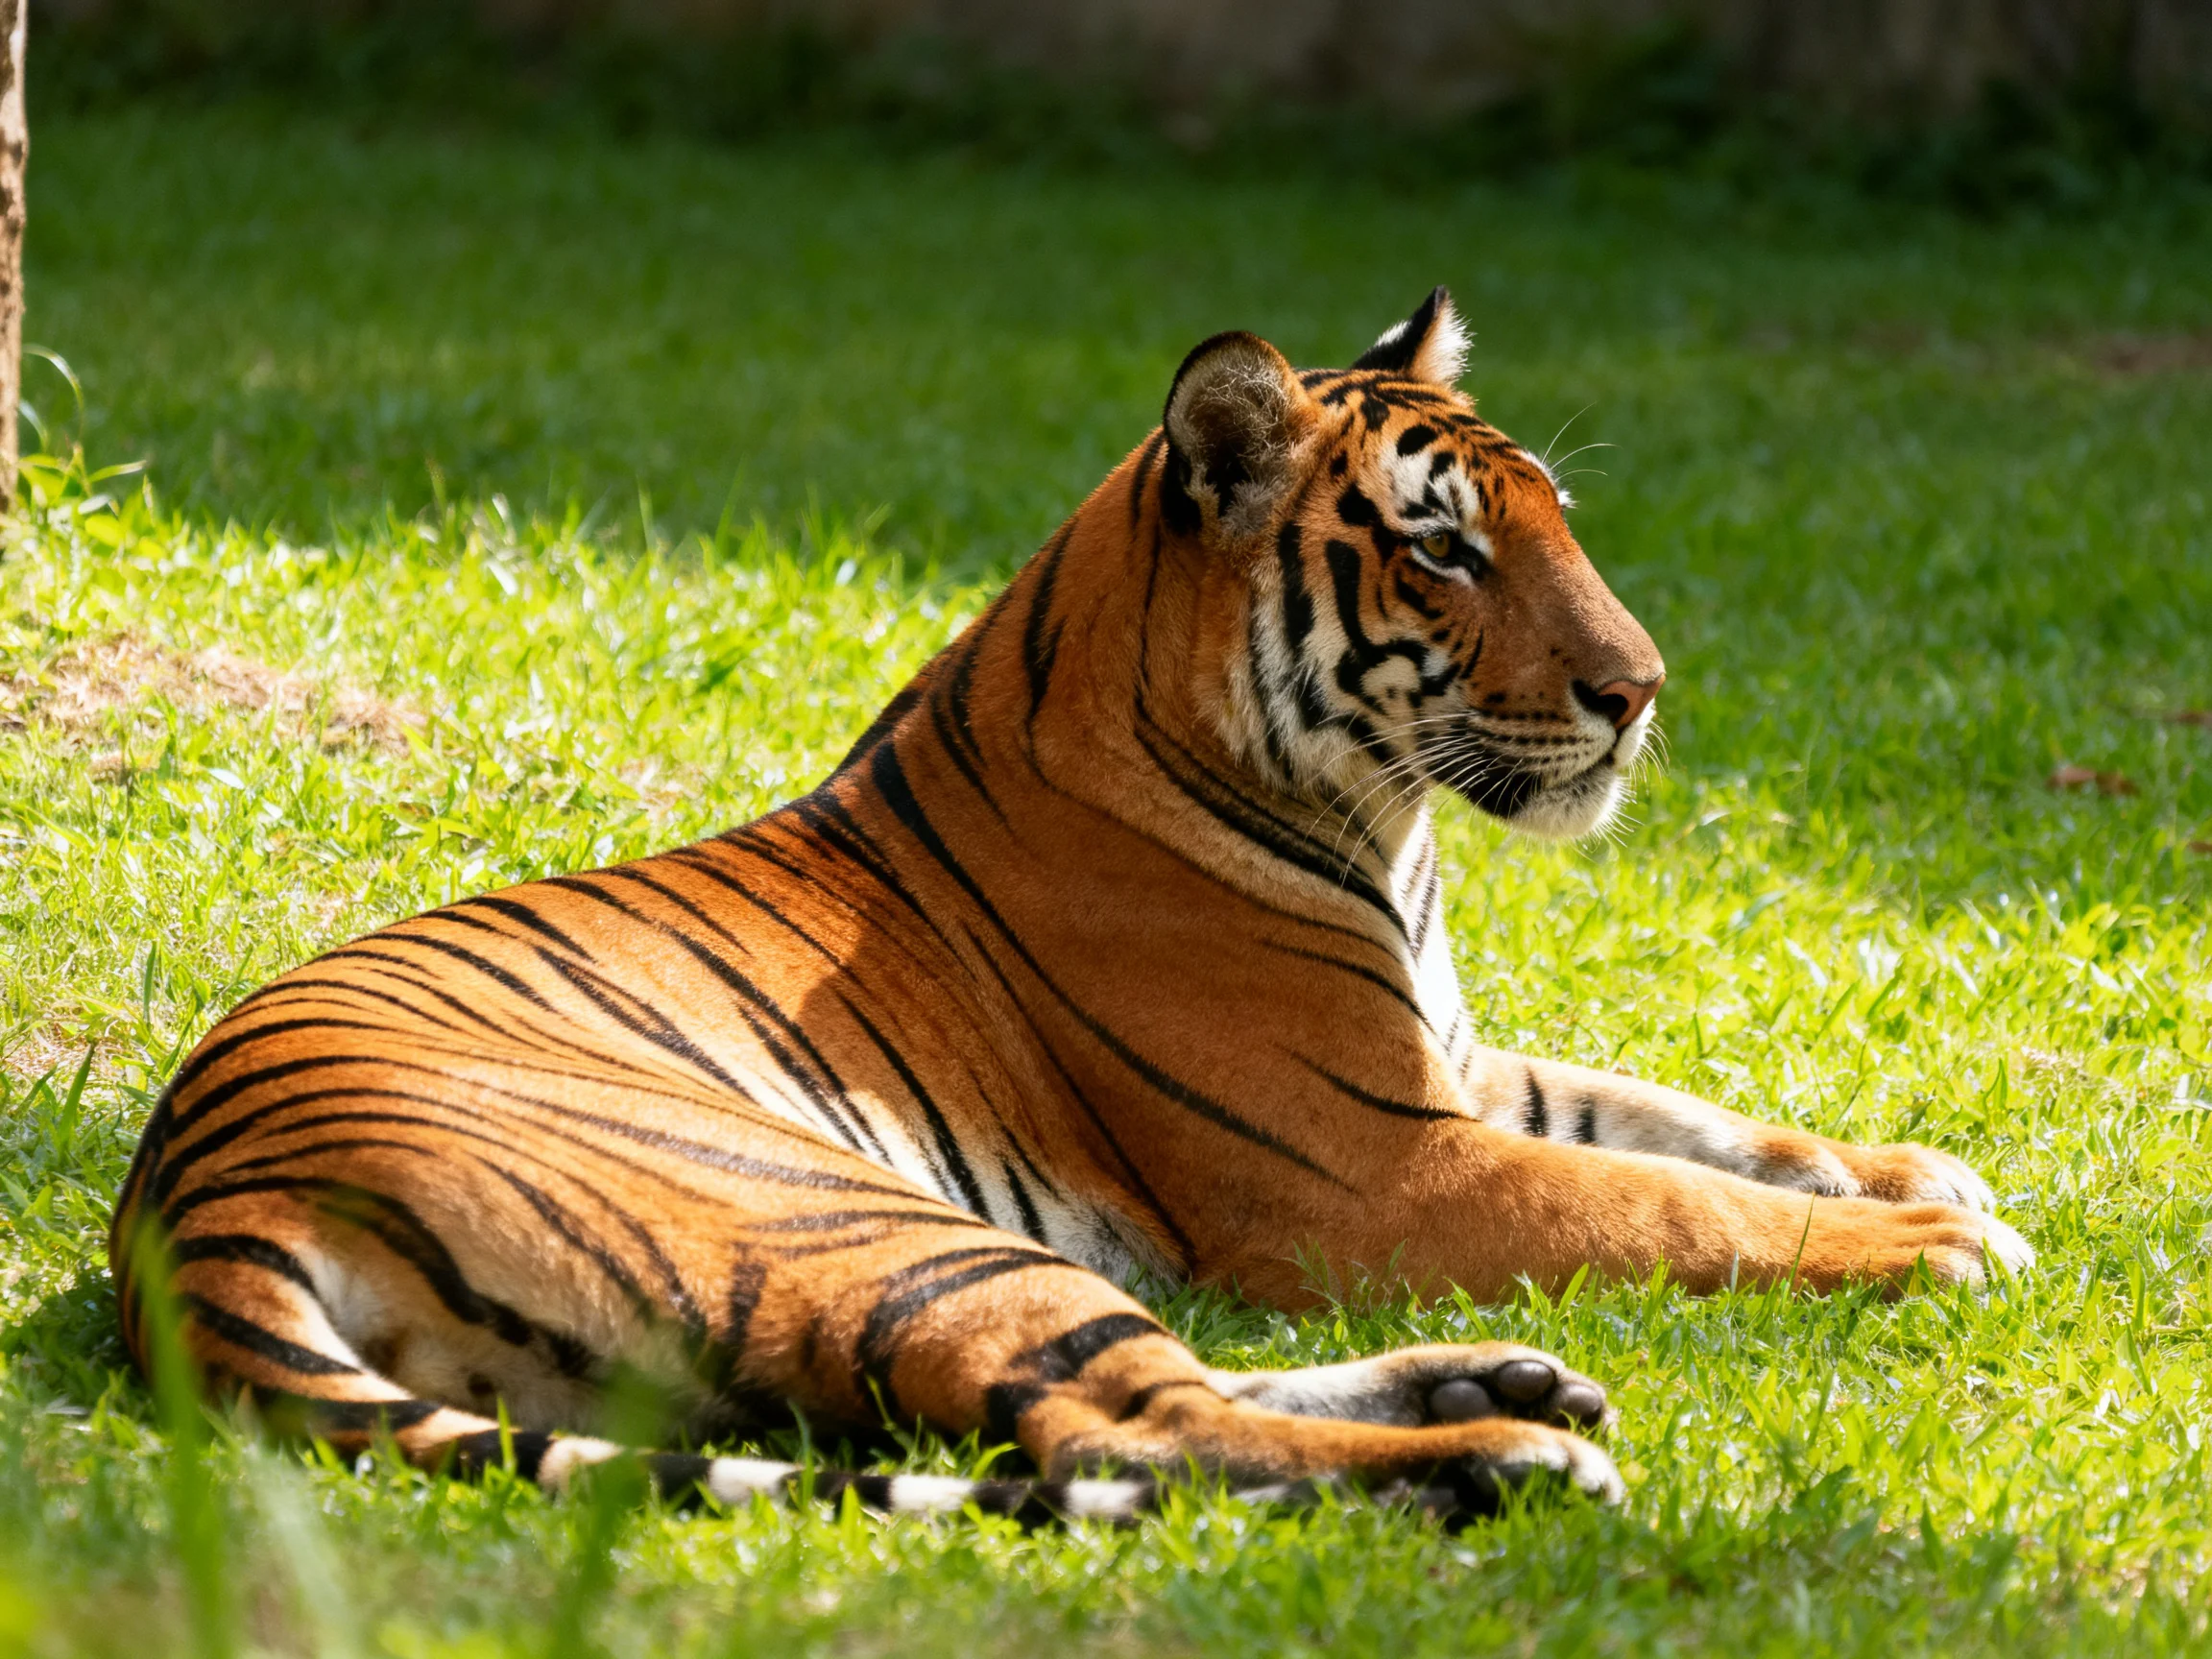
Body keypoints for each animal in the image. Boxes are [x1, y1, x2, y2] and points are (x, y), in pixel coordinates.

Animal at [109, 288, 2031, 1525]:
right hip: (859, 1218)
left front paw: (1918, 1173)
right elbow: (1666, 1199)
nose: (1641, 693)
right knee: (1125, 1431)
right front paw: (1940, 1247)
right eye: (1443, 549)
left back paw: (1503, 1387)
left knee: (1122, 1406)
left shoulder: (1457, 1067)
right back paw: (1509, 1453)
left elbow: (1690, 1118)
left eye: (1550, 516)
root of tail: (196, 1197)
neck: (1377, 823)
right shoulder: (1381, 1163)